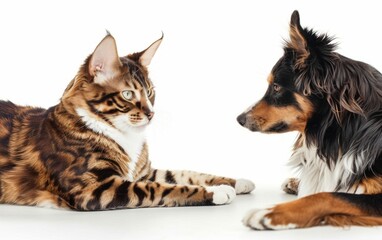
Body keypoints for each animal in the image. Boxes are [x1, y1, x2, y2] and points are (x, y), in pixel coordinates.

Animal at [0, 33, 256, 210]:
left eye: (150, 92)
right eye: (128, 94)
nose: (151, 113)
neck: (126, 136)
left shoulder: (143, 172)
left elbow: (187, 173)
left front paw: (237, 181)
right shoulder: (97, 187)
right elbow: (163, 188)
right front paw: (216, 192)